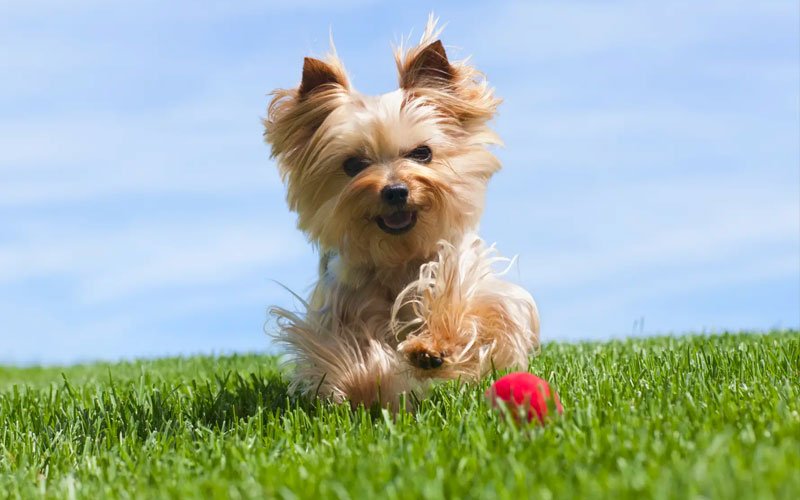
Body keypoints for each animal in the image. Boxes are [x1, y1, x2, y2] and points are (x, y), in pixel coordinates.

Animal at [262, 18, 536, 410]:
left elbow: (475, 309)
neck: (398, 254)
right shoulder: (341, 307)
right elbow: (346, 352)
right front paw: (368, 383)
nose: (394, 190)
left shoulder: (467, 275)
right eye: (353, 164)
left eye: (422, 153)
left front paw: (432, 348)